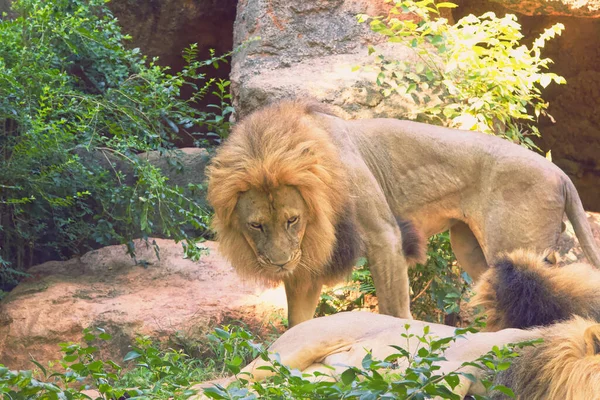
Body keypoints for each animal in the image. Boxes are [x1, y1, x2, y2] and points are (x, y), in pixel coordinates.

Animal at [207, 98, 600, 326]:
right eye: (256, 225)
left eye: (292, 219)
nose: (278, 264)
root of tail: (561, 174)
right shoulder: (306, 261)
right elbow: (298, 321)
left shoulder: (383, 234)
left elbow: (394, 308)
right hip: (470, 248)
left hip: (517, 247)